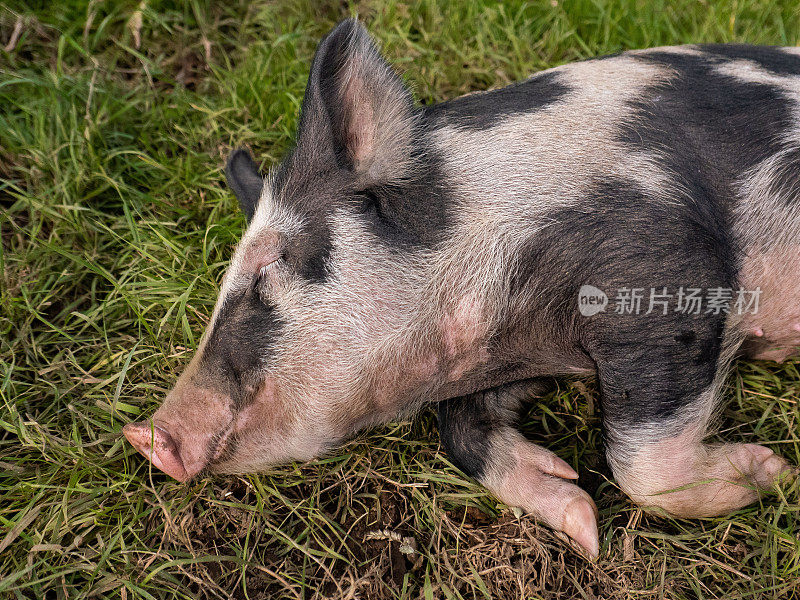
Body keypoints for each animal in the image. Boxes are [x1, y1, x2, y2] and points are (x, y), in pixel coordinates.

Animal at [120, 19, 800, 564]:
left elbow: (640, 459)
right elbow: (460, 428)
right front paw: (577, 514)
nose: (146, 436)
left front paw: (773, 469)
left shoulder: (664, 262)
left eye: (266, 272)